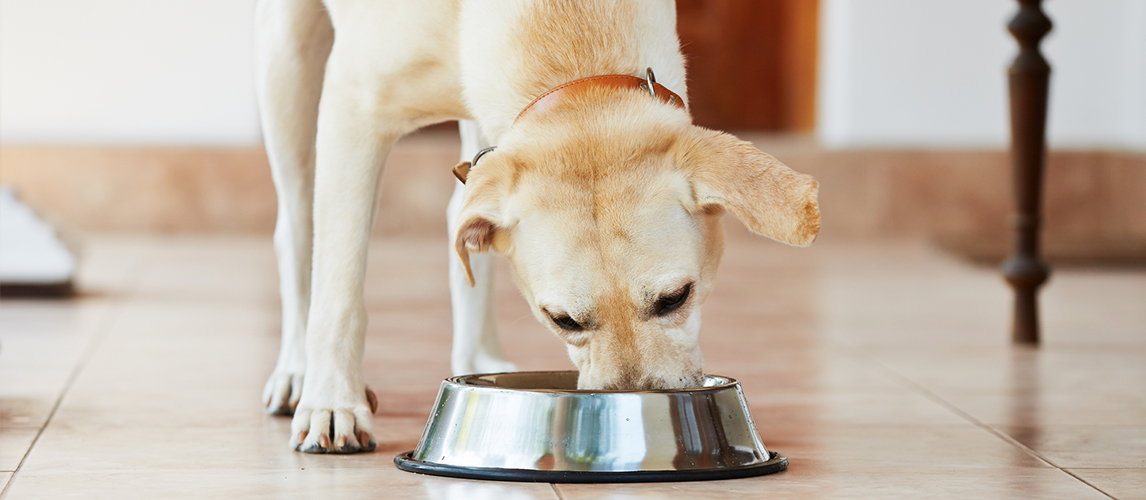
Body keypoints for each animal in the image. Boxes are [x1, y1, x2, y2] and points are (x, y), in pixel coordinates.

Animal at [255, 0, 820, 454]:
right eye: (562, 320)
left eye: (676, 298)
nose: (637, 415)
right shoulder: (354, 107)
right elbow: (340, 286)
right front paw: (334, 403)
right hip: (286, 61)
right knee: (298, 229)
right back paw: (298, 373)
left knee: (460, 220)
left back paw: (478, 356)